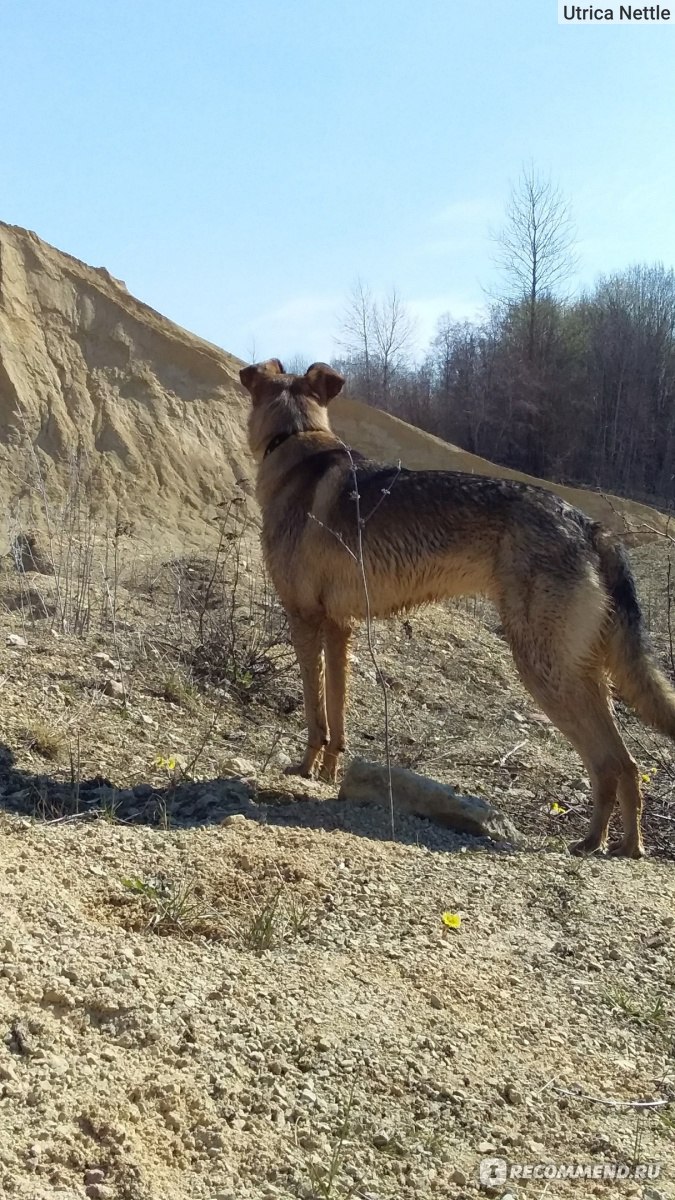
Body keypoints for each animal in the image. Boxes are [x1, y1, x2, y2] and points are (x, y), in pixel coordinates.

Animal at [237, 350, 672, 859]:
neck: (297, 440)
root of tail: (590, 525)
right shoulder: (339, 628)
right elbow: (337, 719)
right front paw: (328, 774)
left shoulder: (303, 621)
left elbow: (315, 716)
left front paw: (306, 771)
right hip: (581, 672)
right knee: (624, 765)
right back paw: (615, 843)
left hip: (546, 670)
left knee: (613, 762)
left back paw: (605, 844)